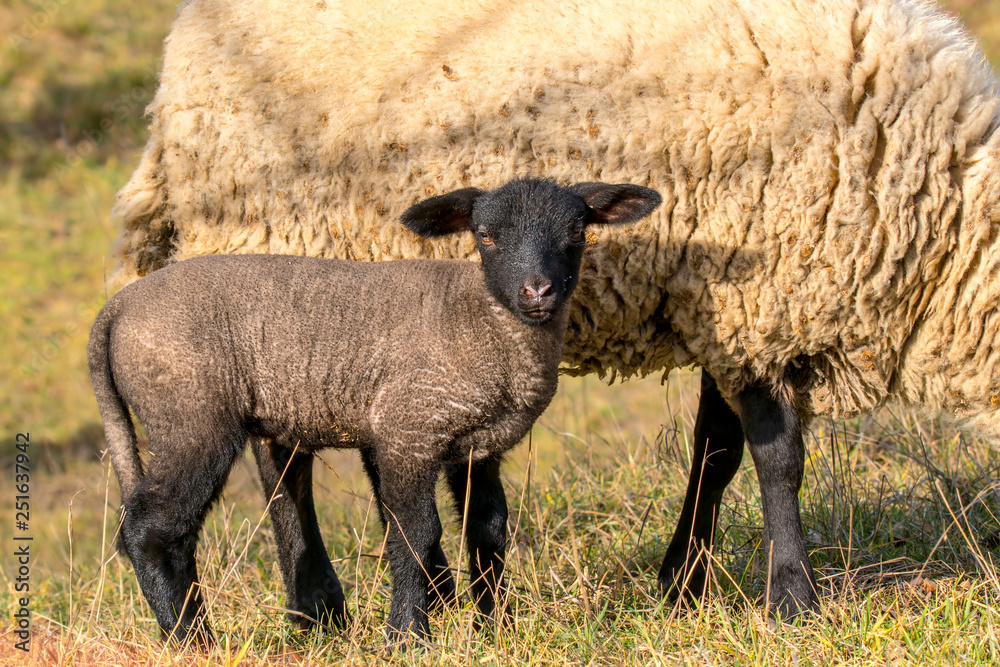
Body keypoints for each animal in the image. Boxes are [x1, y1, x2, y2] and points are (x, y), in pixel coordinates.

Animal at [88, 178, 662, 644]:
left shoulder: (477, 449)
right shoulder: (407, 432)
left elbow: (489, 530)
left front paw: (497, 627)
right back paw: (191, 639)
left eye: (577, 231)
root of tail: (116, 309)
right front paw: (408, 636)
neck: (478, 322)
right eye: (486, 236)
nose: (537, 291)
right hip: (191, 416)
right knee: (152, 530)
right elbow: (415, 532)